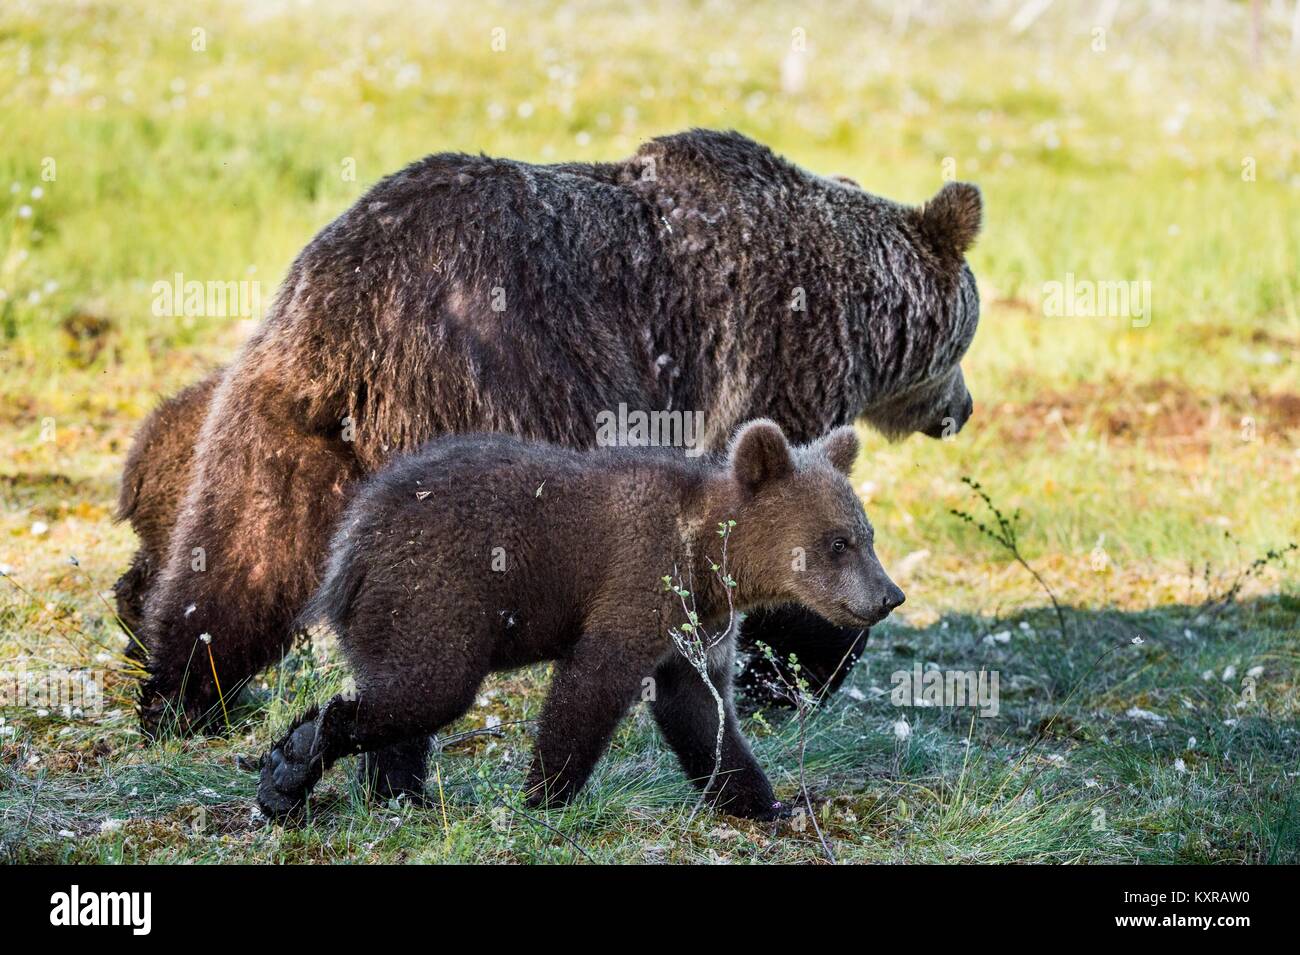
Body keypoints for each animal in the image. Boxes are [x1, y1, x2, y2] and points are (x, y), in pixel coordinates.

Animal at [120, 128, 981, 739]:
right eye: (969, 336)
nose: (963, 407)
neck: (857, 313)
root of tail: (353, 309)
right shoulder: (775, 360)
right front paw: (796, 663)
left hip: (283, 411)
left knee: (243, 553)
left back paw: (183, 690)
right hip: (492, 378)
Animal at [255, 420, 904, 820]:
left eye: (867, 534)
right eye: (838, 542)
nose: (889, 595)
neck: (704, 557)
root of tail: (348, 544)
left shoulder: (697, 627)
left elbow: (700, 712)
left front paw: (762, 800)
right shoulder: (638, 580)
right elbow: (591, 684)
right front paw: (546, 793)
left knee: (402, 706)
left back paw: (388, 793)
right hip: (434, 594)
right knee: (426, 690)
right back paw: (295, 760)